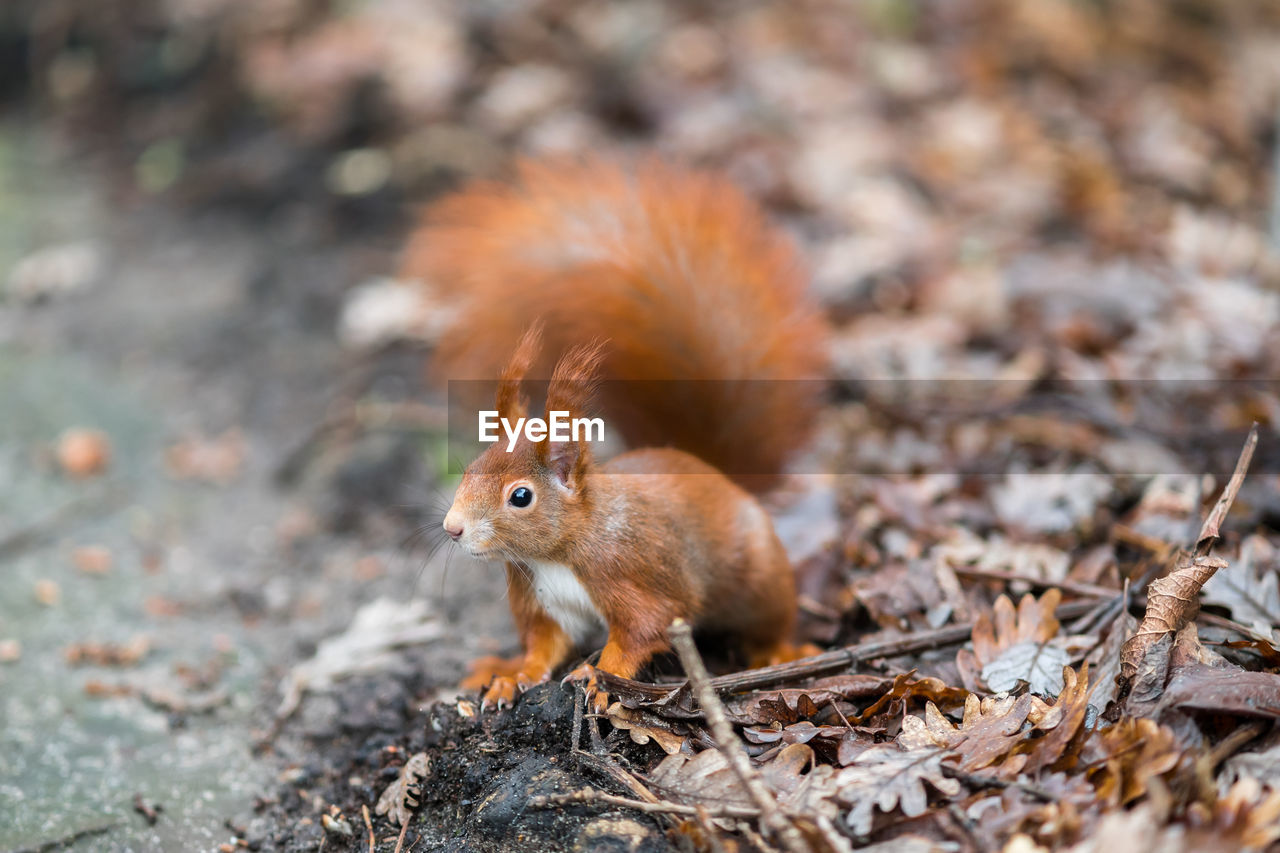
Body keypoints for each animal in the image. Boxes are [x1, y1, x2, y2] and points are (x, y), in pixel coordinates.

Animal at [409, 156, 829, 706]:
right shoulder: (541, 599)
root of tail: (710, 470)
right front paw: (515, 675)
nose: (452, 528)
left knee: (772, 619)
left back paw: (779, 651)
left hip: (760, 578)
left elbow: (641, 630)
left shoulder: (631, 574)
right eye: (469, 470)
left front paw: (596, 676)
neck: (555, 555)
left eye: (520, 497)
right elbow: (542, 645)